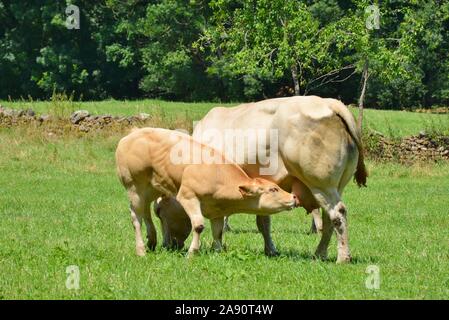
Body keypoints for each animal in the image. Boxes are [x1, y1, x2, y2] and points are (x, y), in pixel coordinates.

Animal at [114, 127, 298, 255]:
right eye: (273, 189)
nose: (293, 196)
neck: (217, 174)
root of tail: (131, 135)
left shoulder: (217, 212)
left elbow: (218, 232)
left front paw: (217, 252)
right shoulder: (188, 197)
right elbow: (198, 226)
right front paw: (192, 253)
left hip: (150, 189)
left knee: (146, 212)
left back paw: (151, 240)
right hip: (134, 187)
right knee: (136, 217)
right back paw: (141, 250)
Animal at [156, 96, 366, 264]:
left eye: (159, 213)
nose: (166, 245)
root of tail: (328, 102)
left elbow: (220, 220)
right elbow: (263, 221)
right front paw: (270, 250)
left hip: (321, 184)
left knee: (338, 214)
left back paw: (342, 257)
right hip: (334, 186)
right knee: (329, 218)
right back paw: (319, 253)